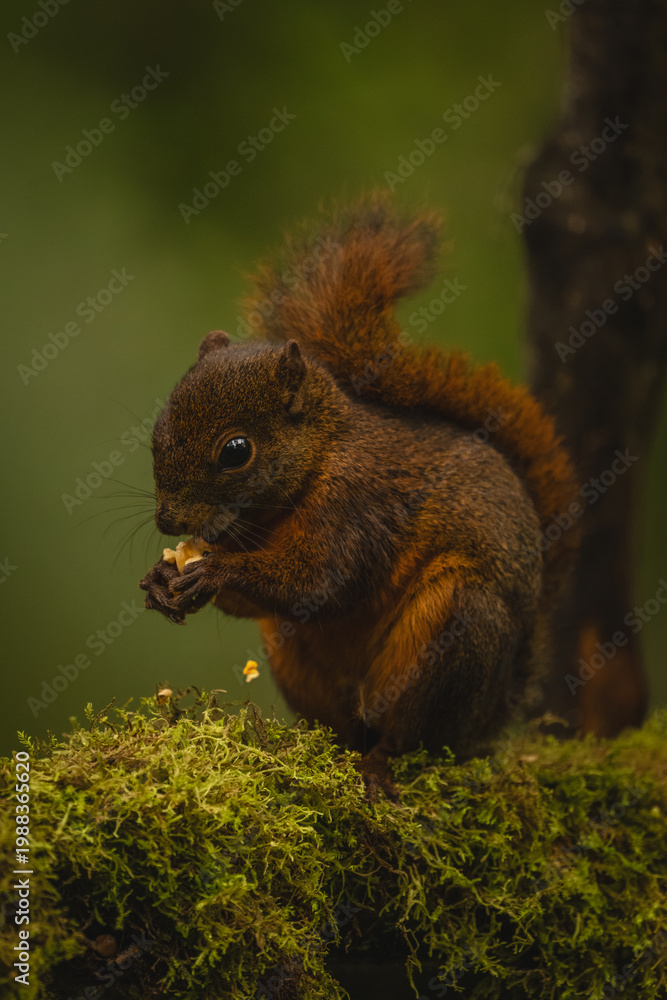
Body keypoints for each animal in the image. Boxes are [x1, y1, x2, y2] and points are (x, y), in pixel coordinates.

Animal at [139, 196, 578, 798]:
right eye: (157, 430)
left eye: (236, 451)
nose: (167, 521)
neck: (315, 466)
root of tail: (494, 714)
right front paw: (162, 578)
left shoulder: (359, 505)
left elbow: (323, 582)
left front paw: (214, 571)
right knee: (350, 725)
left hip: (456, 630)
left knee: (412, 735)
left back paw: (379, 765)